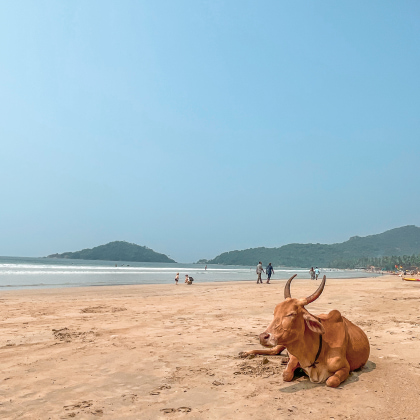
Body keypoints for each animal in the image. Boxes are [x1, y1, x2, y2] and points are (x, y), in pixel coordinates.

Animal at [241, 276, 370, 388]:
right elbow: (286, 374)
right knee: (274, 351)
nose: (263, 337)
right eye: (274, 313)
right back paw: (246, 353)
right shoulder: (295, 356)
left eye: (291, 314)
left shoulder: (345, 367)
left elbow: (331, 381)